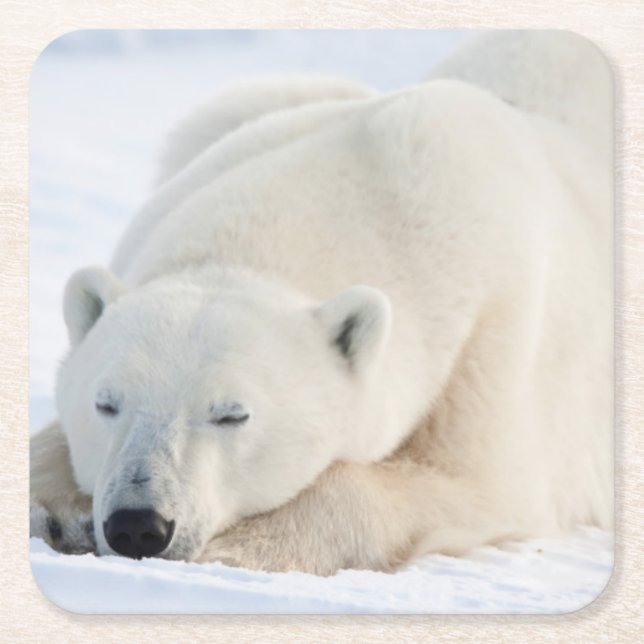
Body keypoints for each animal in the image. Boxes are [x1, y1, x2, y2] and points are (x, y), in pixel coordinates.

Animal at [30, 31, 612, 575]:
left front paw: (239, 547)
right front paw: (54, 511)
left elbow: (476, 483)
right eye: (106, 403)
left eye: (233, 415)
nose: (138, 524)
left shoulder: (494, 336)